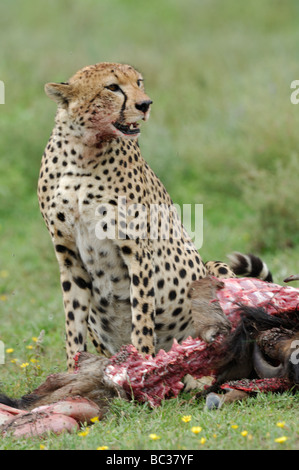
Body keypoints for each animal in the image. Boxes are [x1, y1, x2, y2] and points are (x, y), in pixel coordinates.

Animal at [37, 63, 234, 370]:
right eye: (112, 87)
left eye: (139, 82)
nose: (145, 104)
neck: (83, 151)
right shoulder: (68, 256)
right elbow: (73, 323)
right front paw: (73, 370)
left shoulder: (137, 250)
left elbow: (141, 313)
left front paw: (143, 363)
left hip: (215, 270)